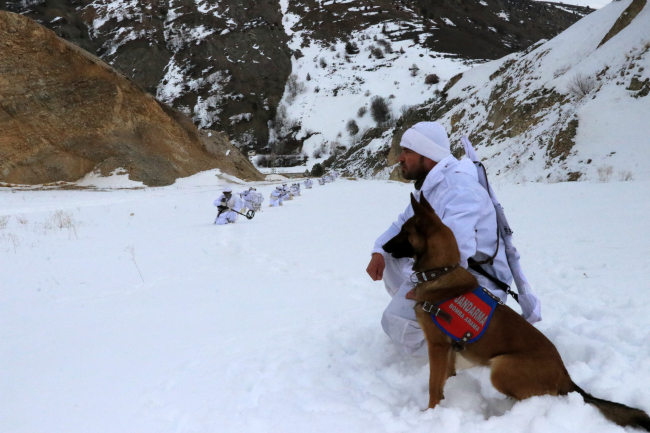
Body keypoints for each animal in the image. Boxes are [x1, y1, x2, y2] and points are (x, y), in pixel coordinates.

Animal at [382, 194, 644, 430]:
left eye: (404, 232)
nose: (383, 246)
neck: (441, 273)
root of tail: (565, 376)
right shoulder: (448, 351)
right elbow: (445, 378)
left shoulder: (437, 346)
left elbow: (434, 386)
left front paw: (429, 414)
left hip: (502, 367)